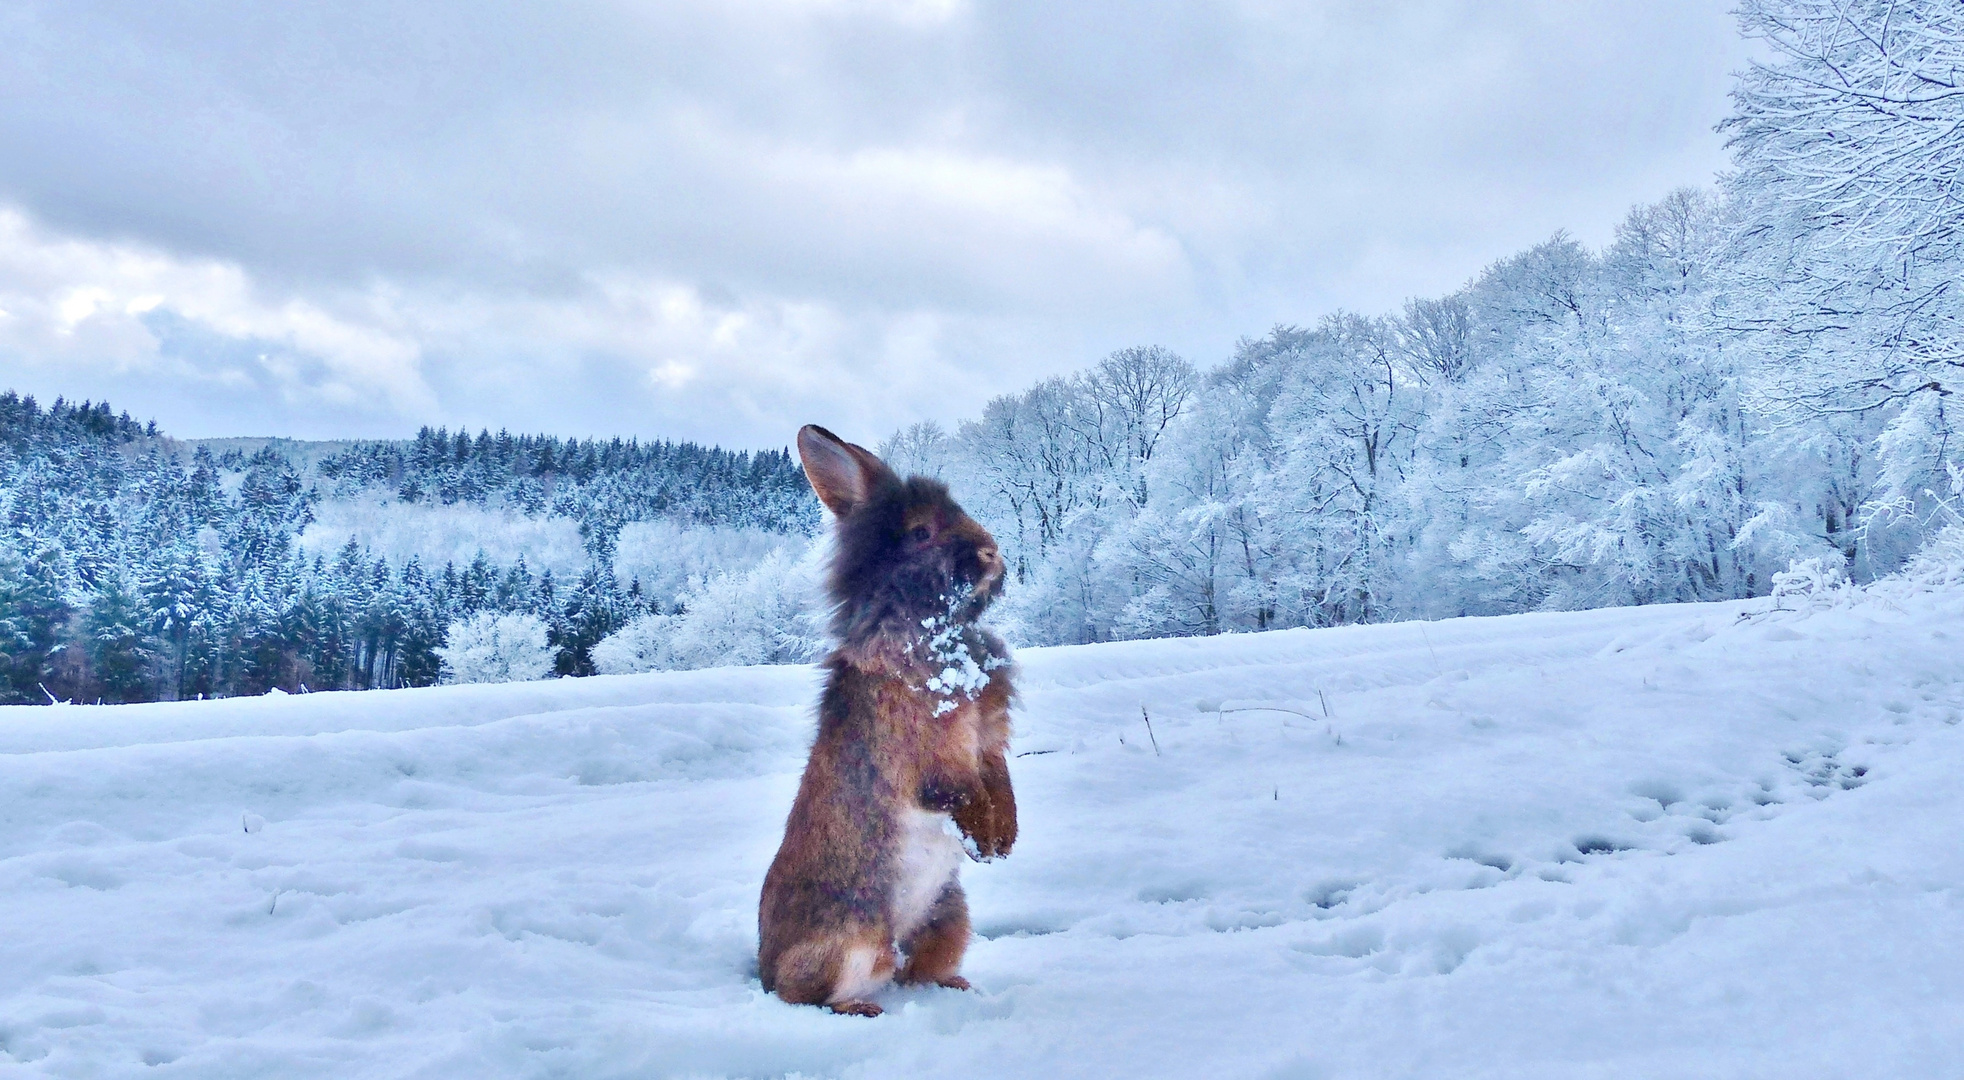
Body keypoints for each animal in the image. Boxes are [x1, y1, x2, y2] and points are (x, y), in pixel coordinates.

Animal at [758, 428, 1021, 1021]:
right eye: (921, 533)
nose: (992, 553)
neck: (931, 633)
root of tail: (760, 970)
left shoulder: (989, 743)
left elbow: (999, 781)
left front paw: (1005, 843)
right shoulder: (932, 758)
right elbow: (962, 790)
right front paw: (986, 840)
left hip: (950, 918)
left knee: (916, 972)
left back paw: (957, 987)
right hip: (852, 943)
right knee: (804, 993)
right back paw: (862, 1009)